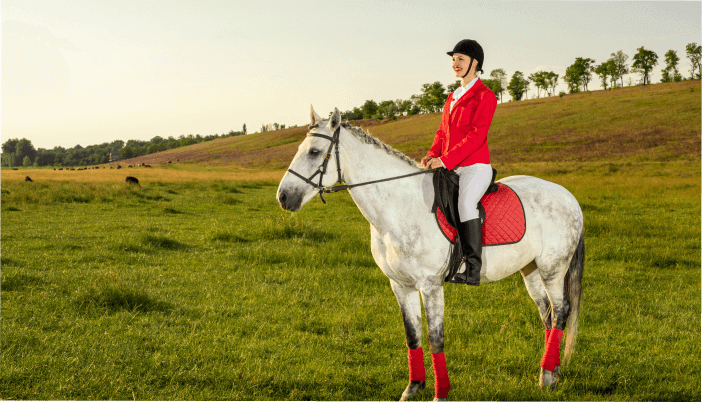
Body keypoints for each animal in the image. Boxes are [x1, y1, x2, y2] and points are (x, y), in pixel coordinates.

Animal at [278, 107, 584, 402]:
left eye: (314, 152)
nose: (283, 197)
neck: (400, 207)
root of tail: (568, 195)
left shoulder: (431, 286)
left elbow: (436, 339)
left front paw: (440, 394)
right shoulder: (400, 286)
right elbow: (412, 336)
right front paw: (413, 388)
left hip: (552, 269)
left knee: (560, 311)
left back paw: (547, 377)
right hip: (530, 270)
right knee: (547, 313)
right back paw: (551, 371)